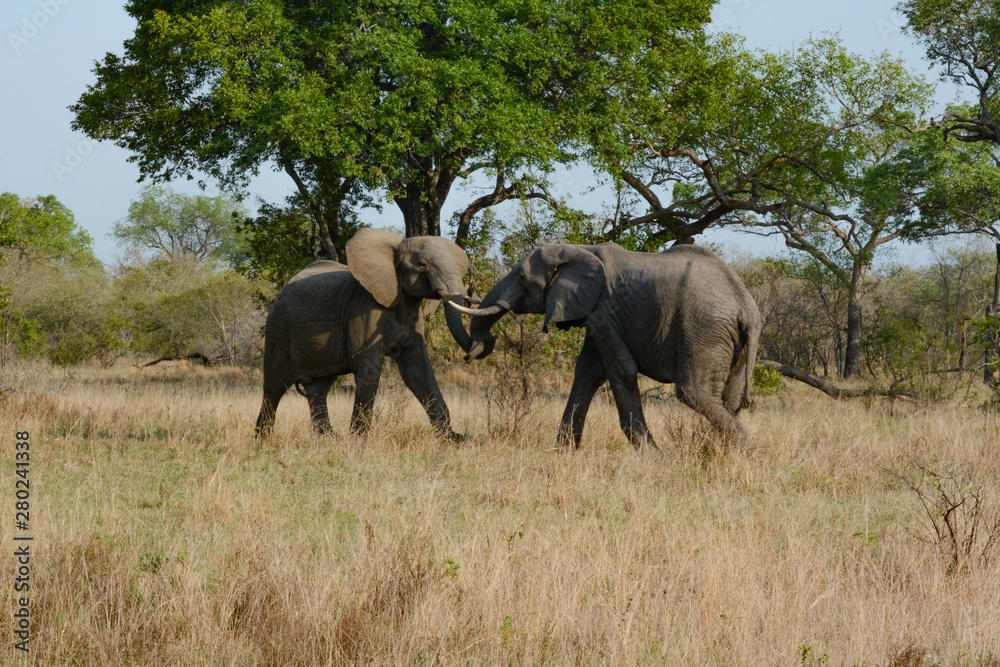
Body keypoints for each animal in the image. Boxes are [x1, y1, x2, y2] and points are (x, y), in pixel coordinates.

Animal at [256, 227, 478, 440]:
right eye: (422, 265)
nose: (469, 355)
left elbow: (418, 370)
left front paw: (451, 439)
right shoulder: (363, 309)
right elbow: (368, 367)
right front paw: (359, 441)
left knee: (318, 388)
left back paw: (328, 439)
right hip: (278, 329)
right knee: (274, 387)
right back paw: (263, 439)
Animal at [450, 243, 760, 452]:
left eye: (522, 278)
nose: (482, 346)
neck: (580, 250)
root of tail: (746, 306)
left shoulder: (605, 311)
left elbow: (621, 370)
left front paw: (654, 458)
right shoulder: (597, 313)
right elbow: (587, 372)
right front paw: (563, 453)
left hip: (704, 329)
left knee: (693, 393)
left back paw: (741, 453)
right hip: (732, 342)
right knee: (729, 399)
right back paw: (722, 453)